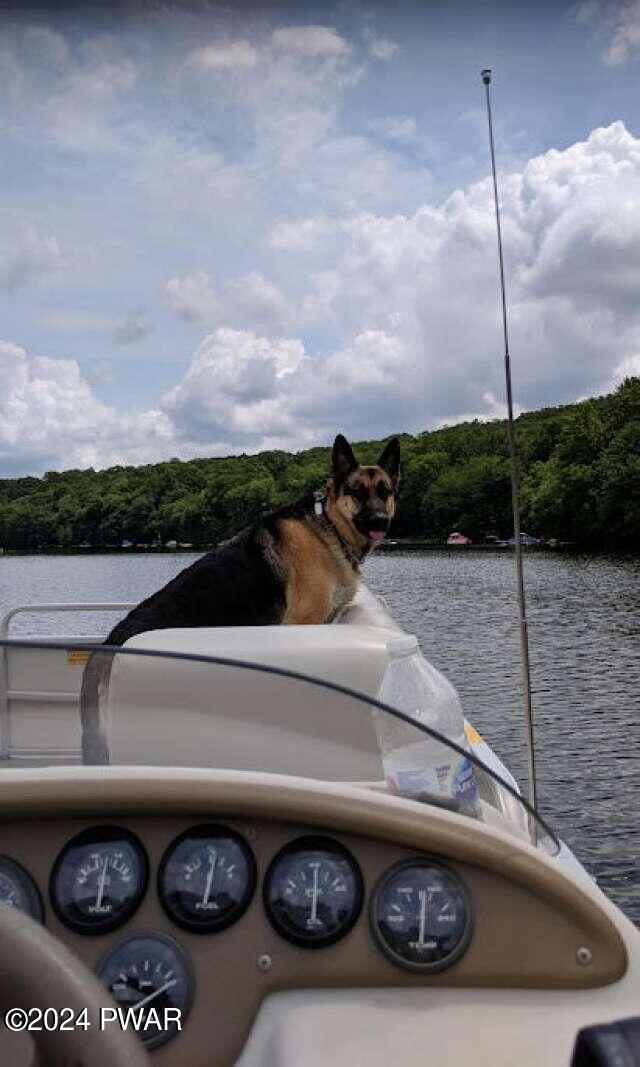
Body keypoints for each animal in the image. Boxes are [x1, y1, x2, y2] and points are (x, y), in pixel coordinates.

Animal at [78, 433, 401, 759]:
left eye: (384, 491)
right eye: (357, 491)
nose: (379, 520)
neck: (330, 527)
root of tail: (108, 644)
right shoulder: (303, 622)